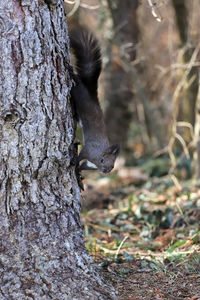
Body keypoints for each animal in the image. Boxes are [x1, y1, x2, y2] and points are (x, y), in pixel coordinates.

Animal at [69, 28, 119, 173]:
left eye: (112, 166)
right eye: (102, 160)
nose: (105, 171)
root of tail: (92, 96)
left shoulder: (90, 165)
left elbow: (84, 166)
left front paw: (79, 171)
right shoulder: (89, 150)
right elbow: (81, 155)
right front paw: (74, 161)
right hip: (79, 94)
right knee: (77, 84)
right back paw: (72, 74)